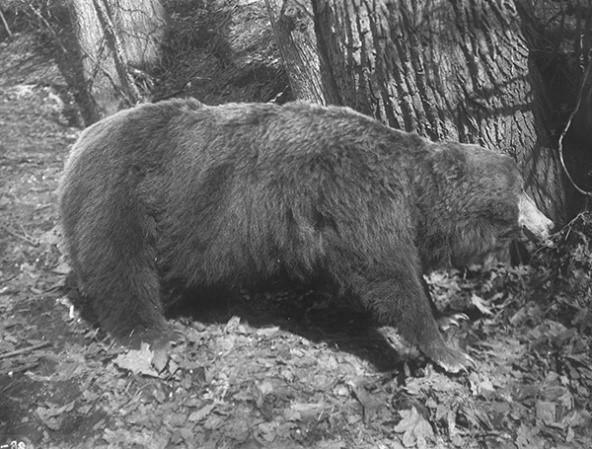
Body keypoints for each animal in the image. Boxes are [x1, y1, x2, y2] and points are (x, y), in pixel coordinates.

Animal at [57, 98, 552, 372]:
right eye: (519, 188)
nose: (544, 223)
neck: (412, 192)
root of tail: (81, 142)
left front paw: (447, 315)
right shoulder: (354, 199)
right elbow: (386, 276)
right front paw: (444, 349)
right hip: (127, 196)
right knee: (121, 270)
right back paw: (152, 334)